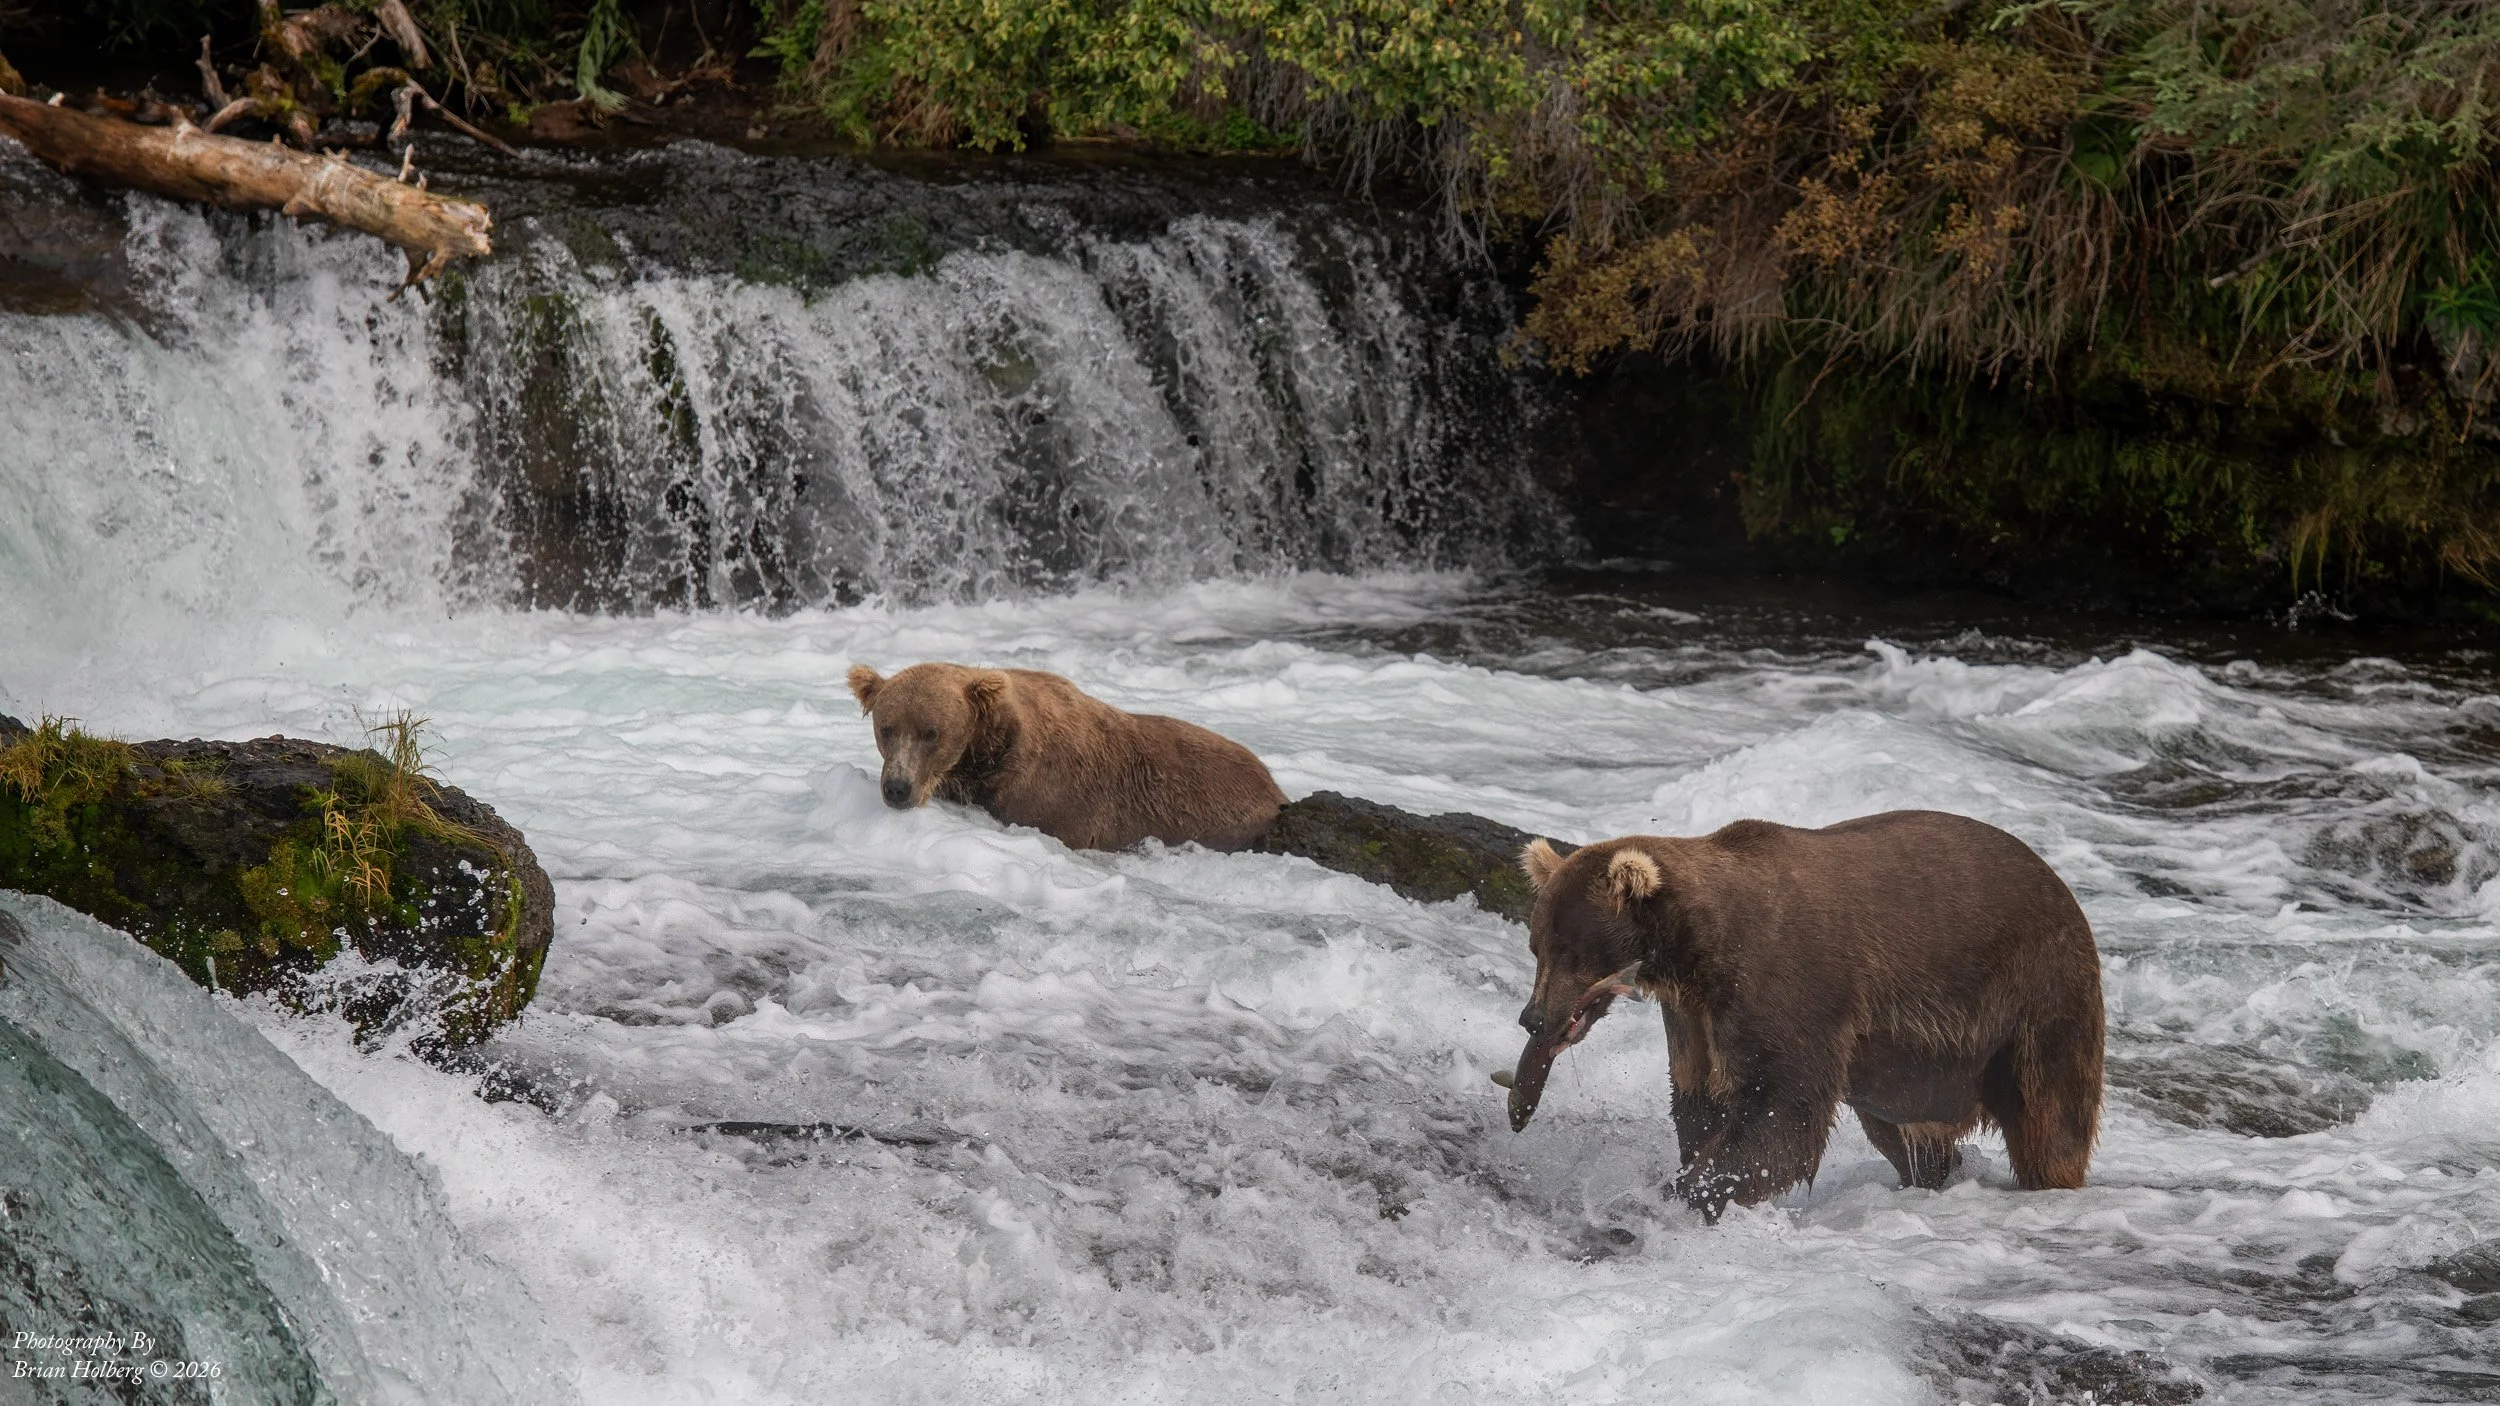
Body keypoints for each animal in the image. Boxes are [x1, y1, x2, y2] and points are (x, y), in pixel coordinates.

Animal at [1500, 810, 2103, 1221]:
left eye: (1574, 953)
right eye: (1537, 946)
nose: (1533, 1018)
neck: (1697, 954)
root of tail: (2060, 884)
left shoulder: (1786, 987)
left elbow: (1783, 1112)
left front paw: (1685, 1193)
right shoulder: (1694, 1019)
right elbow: (1700, 1104)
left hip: (2036, 995)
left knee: (2051, 1114)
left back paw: (2049, 1182)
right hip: (1908, 1064)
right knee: (1901, 1132)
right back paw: (1930, 1174)